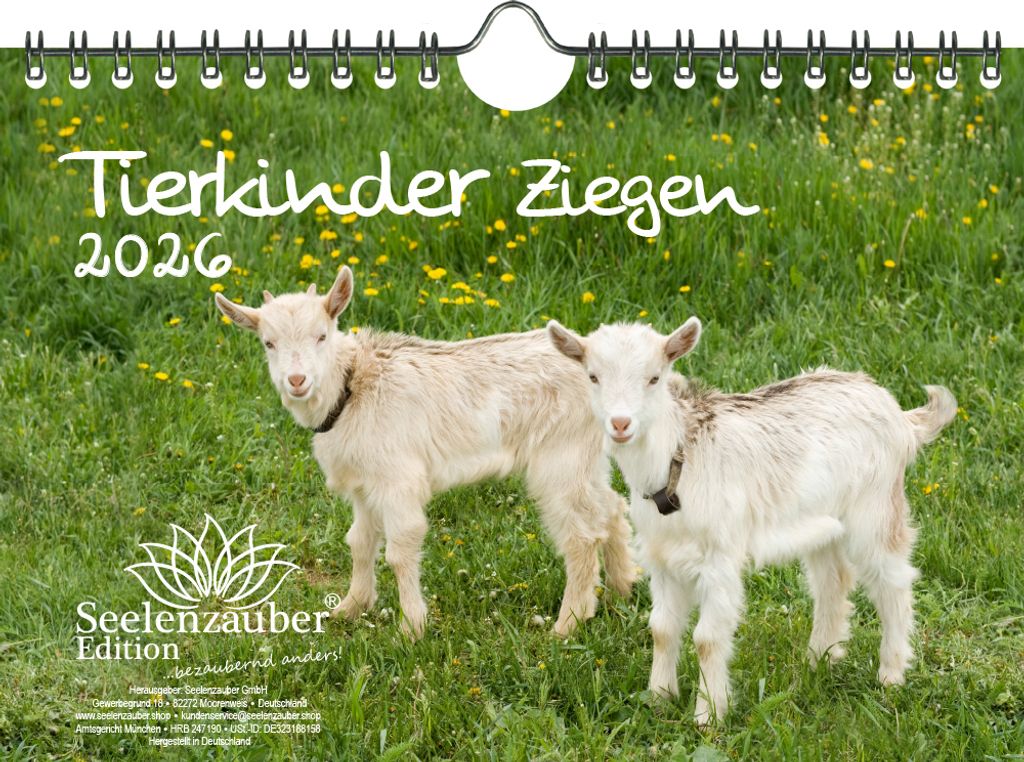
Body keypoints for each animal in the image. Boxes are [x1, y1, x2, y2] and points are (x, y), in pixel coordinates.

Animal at [214, 267, 635, 639]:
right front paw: (351, 608)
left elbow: (400, 548)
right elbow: (359, 541)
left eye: (321, 335)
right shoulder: (364, 485)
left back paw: (568, 624)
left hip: (561, 454)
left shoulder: (397, 479)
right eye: (268, 343)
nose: (297, 381)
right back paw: (623, 588)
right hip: (587, 456)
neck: (353, 386)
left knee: (580, 534)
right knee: (611, 507)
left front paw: (411, 629)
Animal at [547, 317, 956, 726]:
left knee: (894, 582)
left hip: (876, 508)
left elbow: (707, 639)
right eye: (593, 376)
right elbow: (661, 629)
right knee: (832, 581)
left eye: (654, 377)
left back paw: (891, 675)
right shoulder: (661, 557)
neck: (679, 463)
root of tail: (900, 416)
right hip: (823, 523)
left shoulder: (720, 558)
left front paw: (709, 716)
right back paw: (819, 660)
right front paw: (660, 698)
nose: (620, 424)